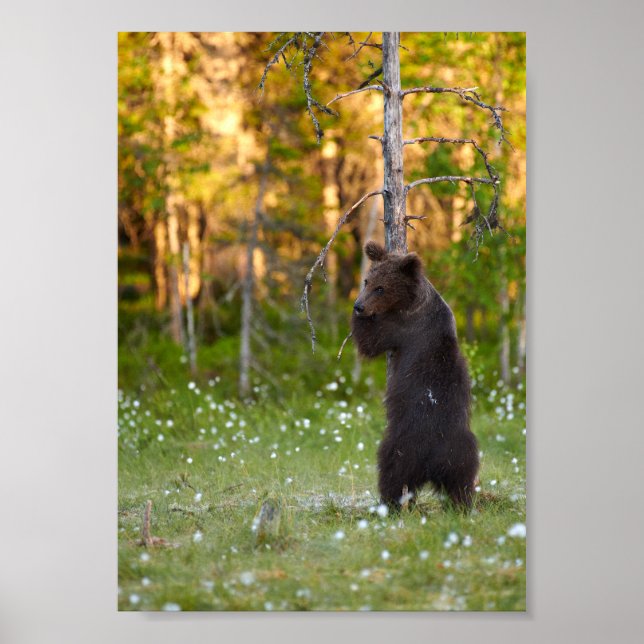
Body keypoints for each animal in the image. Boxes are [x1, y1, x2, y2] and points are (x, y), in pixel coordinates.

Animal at [351, 241, 479, 510]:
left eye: (380, 287)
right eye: (367, 281)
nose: (359, 306)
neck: (412, 301)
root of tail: (432, 463)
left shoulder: (402, 326)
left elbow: (370, 341)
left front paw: (360, 321)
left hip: (403, 445)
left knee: (392, 471)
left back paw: (388, 504)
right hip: (462, 448)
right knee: (462, 478)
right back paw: (463, 504)